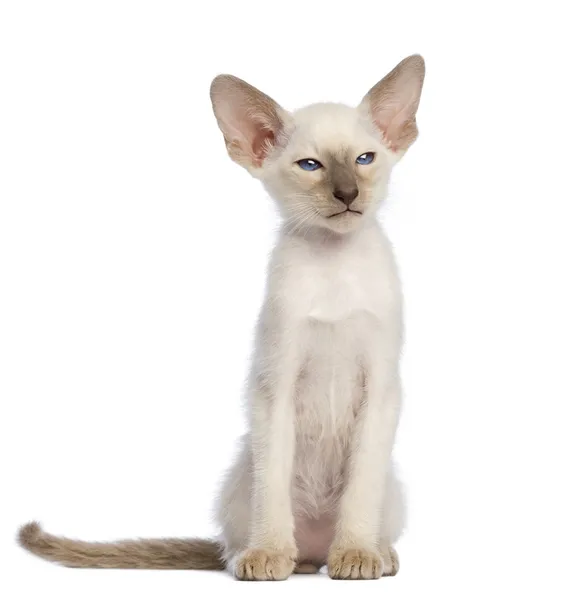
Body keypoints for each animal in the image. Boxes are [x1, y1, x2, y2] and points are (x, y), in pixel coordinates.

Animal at [17, 55, 424, 580]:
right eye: (310, 165)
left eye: (365, 159)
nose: (348, 193)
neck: (334, 262)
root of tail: (314, 551)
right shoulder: (275, 384)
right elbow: (273, 485)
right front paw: (268, 555)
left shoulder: (381, 387)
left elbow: (360, 490)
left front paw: (355, 555)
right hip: (238, 478)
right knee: (237, 540)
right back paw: (268, 556)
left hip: (390, 488)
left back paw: (376, 554)